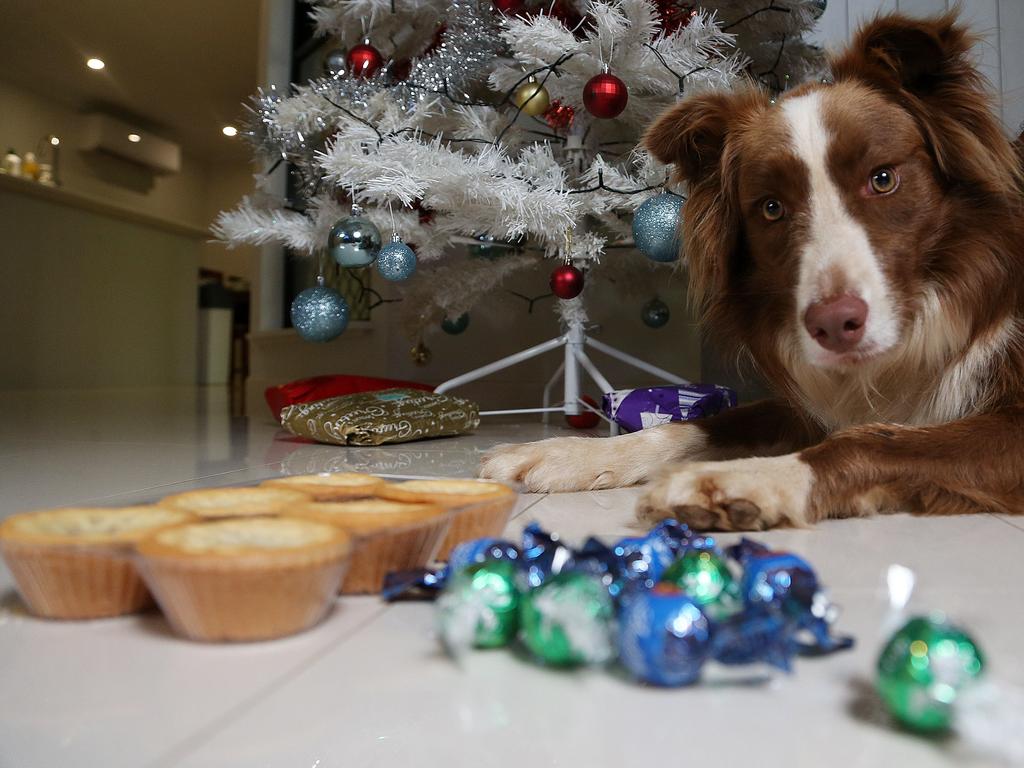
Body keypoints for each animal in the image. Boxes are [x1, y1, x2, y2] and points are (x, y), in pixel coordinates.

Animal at [479, 13, 1024, 528]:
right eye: (771, 208)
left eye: (883, 179)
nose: (833, 326)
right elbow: (699, 424)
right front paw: (567, 453)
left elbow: (871, 439)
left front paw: (744, 479)